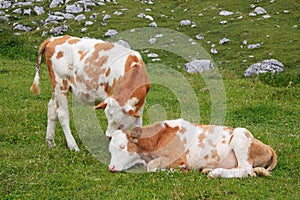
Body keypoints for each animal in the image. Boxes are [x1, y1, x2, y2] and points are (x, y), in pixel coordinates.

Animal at [108, 118, 276, 177]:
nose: (111, 167)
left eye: (122, 146)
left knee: (247, 171)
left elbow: (152, 166)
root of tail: (266, 146)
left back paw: (215, 173)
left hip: (241, 138)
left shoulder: (177, 157)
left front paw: (179, 170)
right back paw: (208, 169)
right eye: (111, 150)